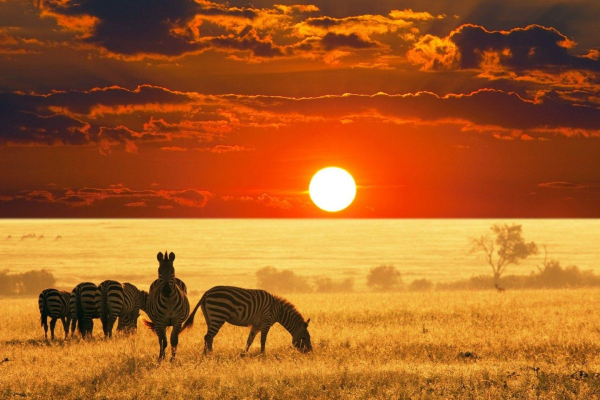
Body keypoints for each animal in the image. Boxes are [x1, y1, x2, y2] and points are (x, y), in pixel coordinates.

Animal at [182, 286, 314, 354]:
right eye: (304, 338)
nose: (310, 352)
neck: (279, 310)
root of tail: (207, 293)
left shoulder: (256, 325)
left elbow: (249, 340)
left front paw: (243, 354)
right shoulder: (266, 322)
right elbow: (263, 340)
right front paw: (263, 355)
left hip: (210, 317)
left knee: (208, 337)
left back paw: (207, 354)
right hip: (218, 314)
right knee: (208, 336)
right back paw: (209, 355)